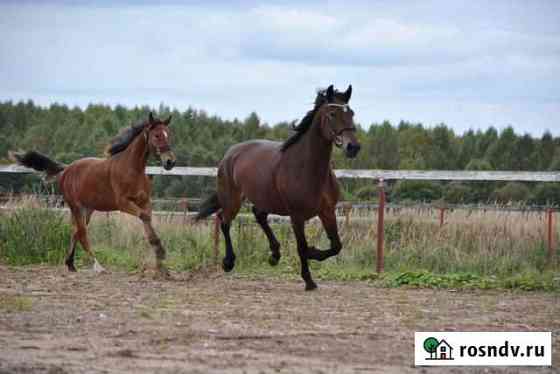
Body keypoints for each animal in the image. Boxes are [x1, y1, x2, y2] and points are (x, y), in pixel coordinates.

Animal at [9, 112, 176, 276]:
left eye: (168, 134)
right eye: (157, 135)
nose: (170, 162)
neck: (132, 169)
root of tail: (66, 169)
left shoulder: (144, 201)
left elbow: (147, 221)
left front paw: (162, 266)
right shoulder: (123, 203)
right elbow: (144, 217)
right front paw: (161, 254)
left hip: (87, 209)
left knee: (76, 231)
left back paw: (70, 264)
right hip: (76, 207)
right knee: (82, 233)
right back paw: (98, 266)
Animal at [197, 84, 360, 290]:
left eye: (351, 113)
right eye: (332, 113)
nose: (353, 147)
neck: (308, 169)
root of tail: (230, 153)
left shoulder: (327, 211)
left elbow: (336, 246)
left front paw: (313, 254)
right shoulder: (296, 216)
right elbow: (302, 247)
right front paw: (309, 280)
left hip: (264, 198)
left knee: (258, 215)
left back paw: (274, 255)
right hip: (232, 199)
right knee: (224, 220)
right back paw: (228, 262)